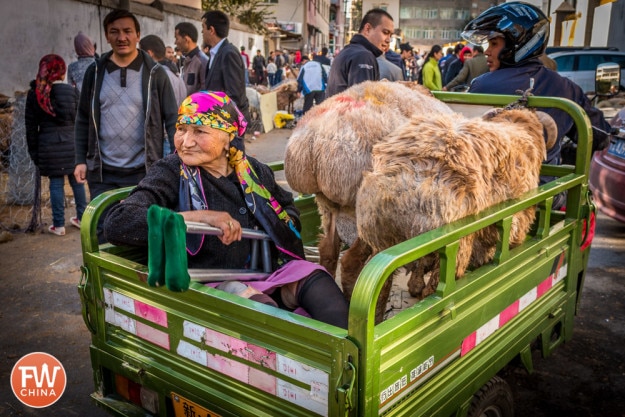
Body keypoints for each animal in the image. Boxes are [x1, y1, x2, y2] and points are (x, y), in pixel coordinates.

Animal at [356, 106, 556, 318]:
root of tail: (404, 184)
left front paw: (414, 285)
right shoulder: (518, 224)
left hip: (382, 239)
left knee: (381, 291)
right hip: (456, 247)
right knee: (435, 291)